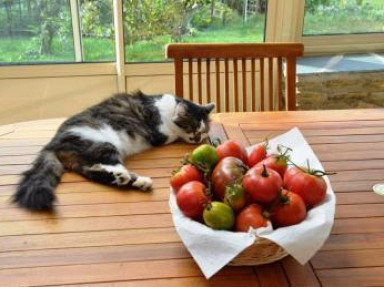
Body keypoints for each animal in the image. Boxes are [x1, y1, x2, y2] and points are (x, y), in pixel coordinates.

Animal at [12, 91, 214, 212]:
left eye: (203, 130)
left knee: (93, 171)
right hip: (103, 144)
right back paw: (129, 178)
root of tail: (52, 143)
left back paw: (134, 181)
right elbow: (171, 134)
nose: (198, 139)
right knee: (105, 167)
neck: (167, 107)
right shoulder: (160, 133)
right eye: (193, 128)